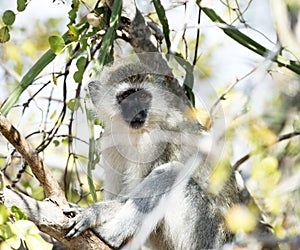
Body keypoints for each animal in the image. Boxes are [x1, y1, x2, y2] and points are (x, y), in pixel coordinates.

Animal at [66, 61, 239, 250]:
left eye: (143, 97)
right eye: (126, 96)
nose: (137, 111)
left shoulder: (154, 143)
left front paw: (92, 212)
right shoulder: (110, 144)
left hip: (203, 231)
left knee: (172, 171)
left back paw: (109, 235)